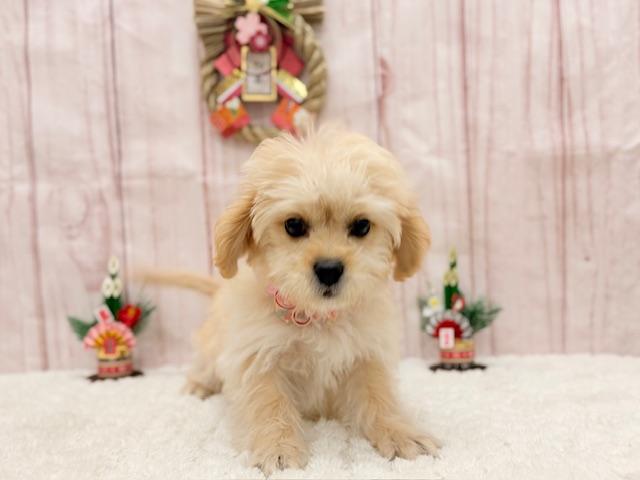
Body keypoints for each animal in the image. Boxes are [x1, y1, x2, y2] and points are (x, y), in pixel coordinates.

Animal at [145, 125, 440, 474]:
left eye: (362, 226)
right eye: (294, 225)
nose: (329, 269)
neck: (317, 317)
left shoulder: (367, 354)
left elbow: (378, 395)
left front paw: (400, 432)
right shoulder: (257, 356)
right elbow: (269, 403)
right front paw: (278, 447)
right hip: (212, 345)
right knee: (204, 364)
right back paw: (198, 385)